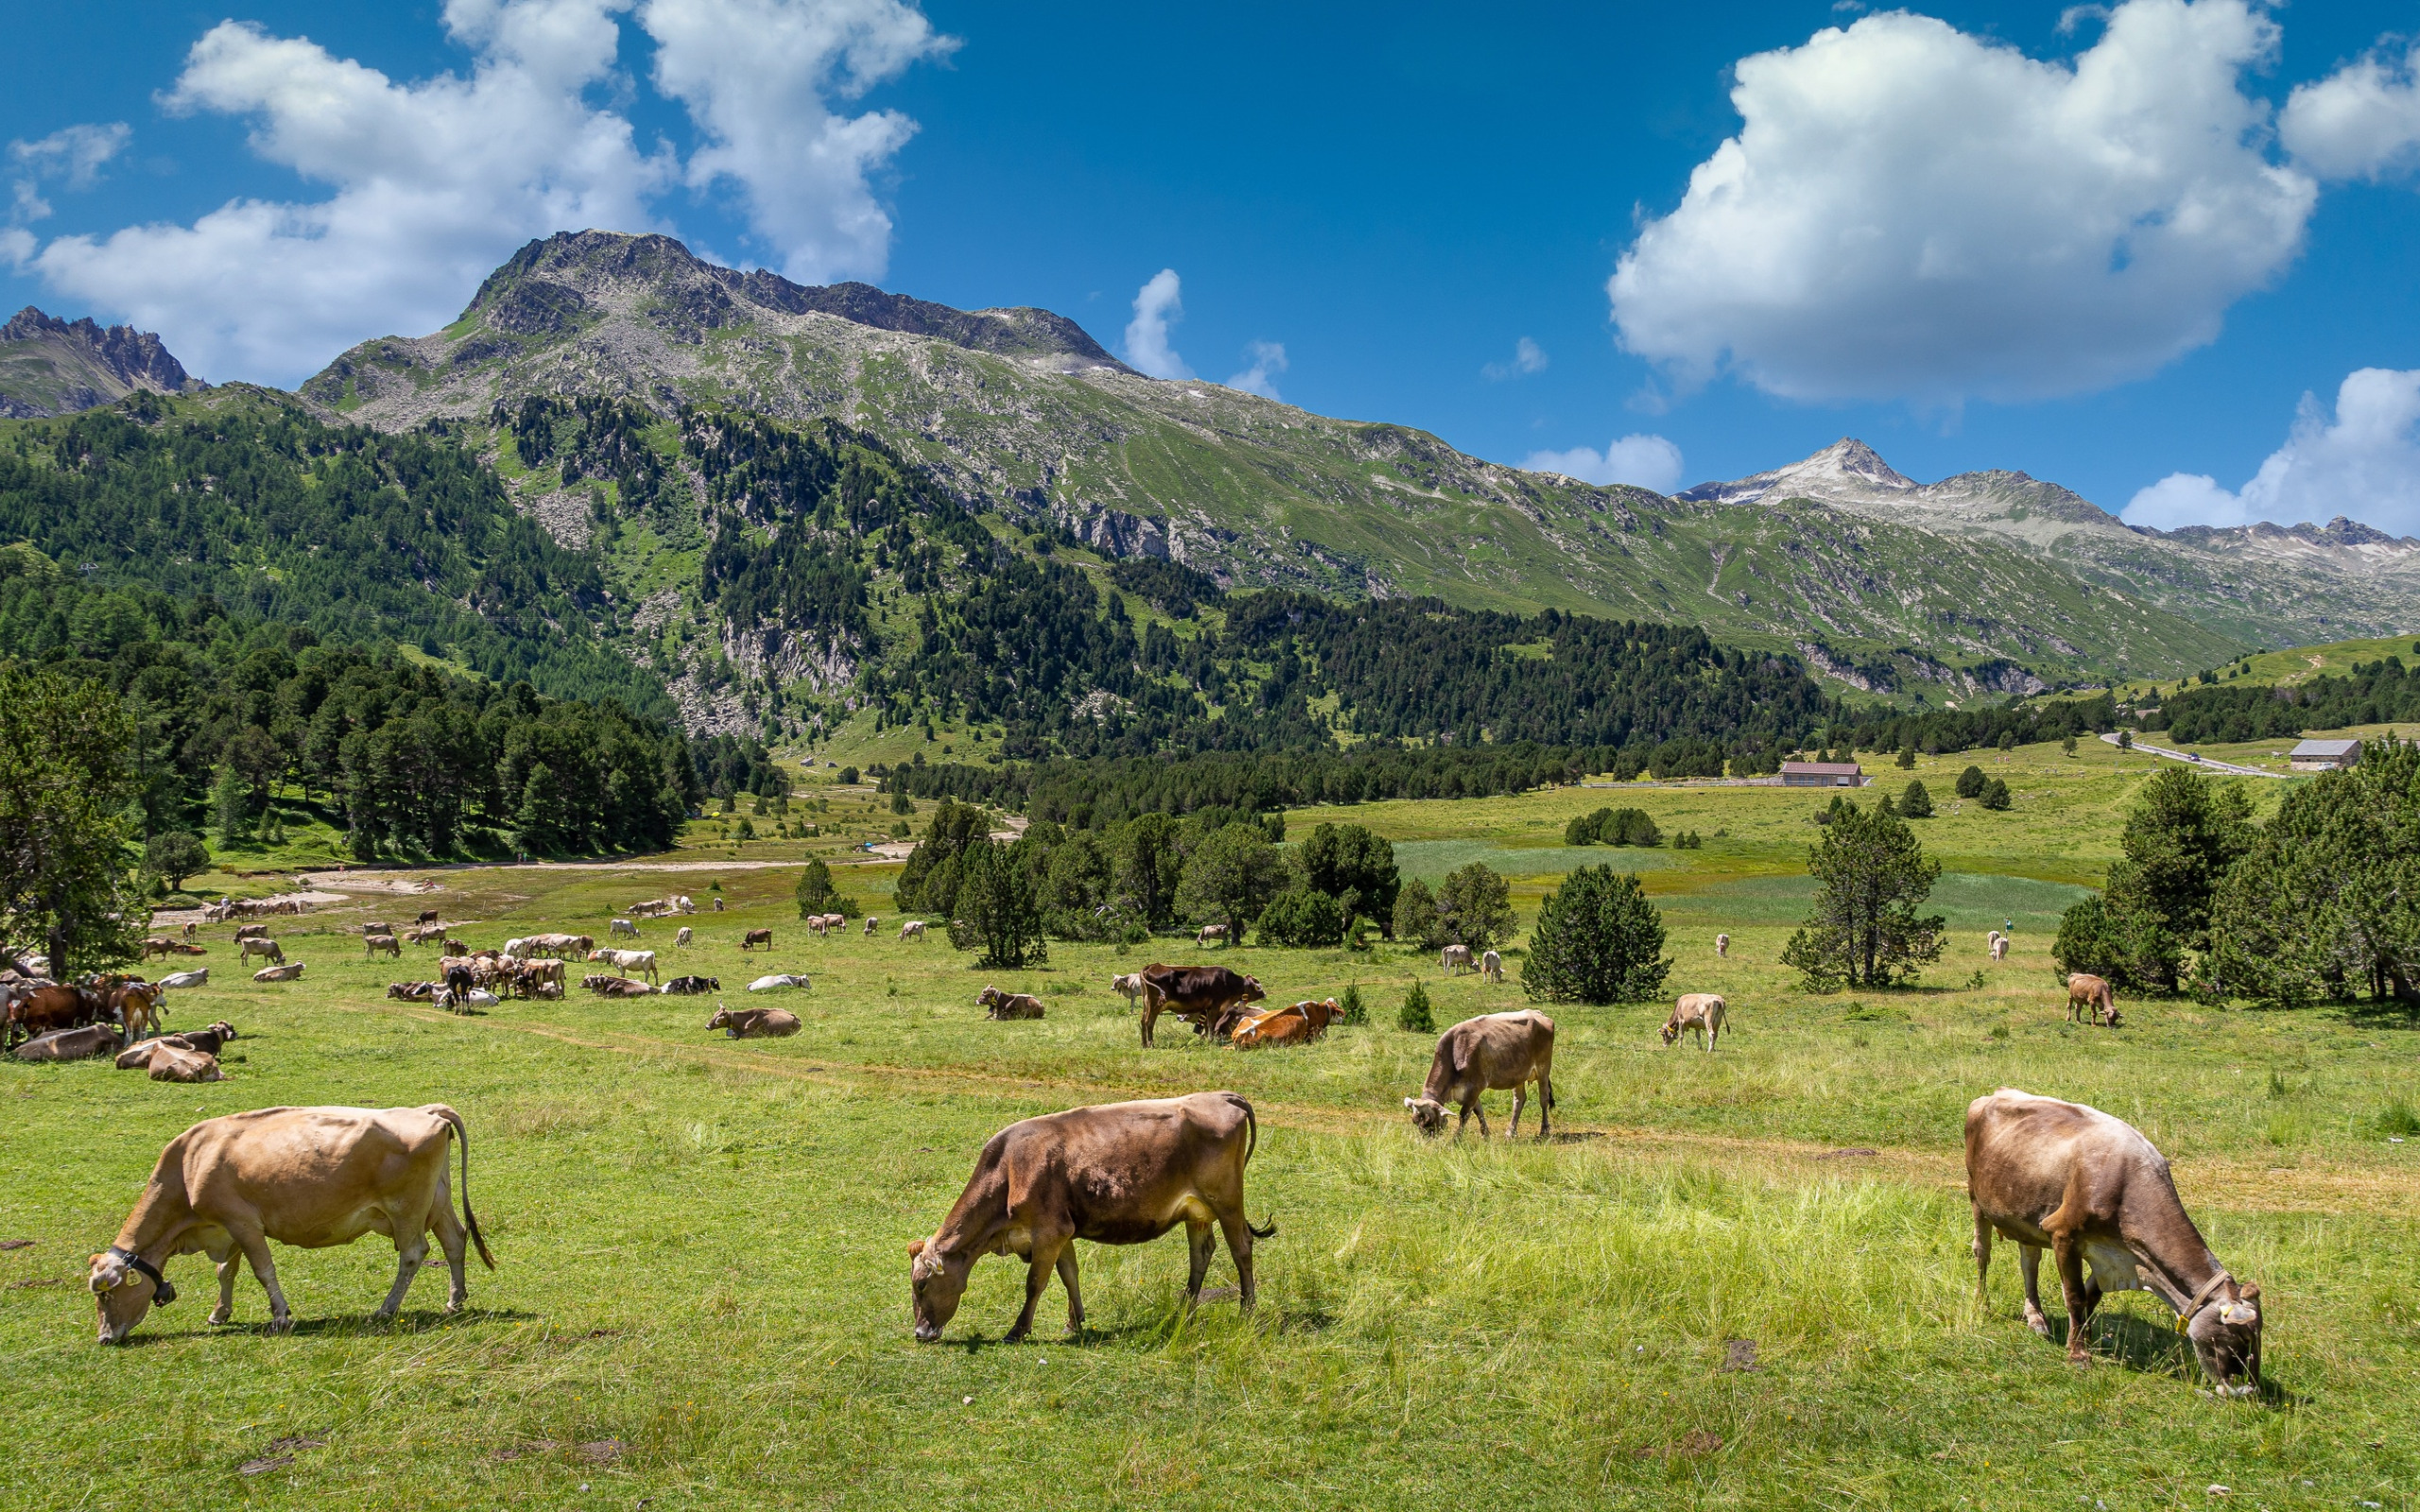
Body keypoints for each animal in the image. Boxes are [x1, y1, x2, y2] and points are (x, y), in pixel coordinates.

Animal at [87, 1098, 493, 1345]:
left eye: (106, 1293)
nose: (104, 1338)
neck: (190, 1165)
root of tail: (428, 1110)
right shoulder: (227, 1227)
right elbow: (226, 1271)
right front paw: (220, 1313)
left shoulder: (242, 1223)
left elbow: (262, 1271)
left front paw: (280, 1316)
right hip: (438, 1203)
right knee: (455, 1241)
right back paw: (454, 1300)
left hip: (405, 1208)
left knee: (413, 1253)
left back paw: (386, 1308)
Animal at [909, 1083, 1277, 1345]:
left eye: (922, 1284)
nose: (920, 1333)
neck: (1010, 1169)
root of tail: (1223, 1095)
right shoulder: (1061, 1232)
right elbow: (1069, 1275)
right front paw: (1074, 1322)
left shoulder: (1049, 1231)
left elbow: (1035, 1283)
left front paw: (1018, 1330)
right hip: (1196, 1211)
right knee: (1201, 1253)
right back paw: (1184, 1310)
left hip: (1227, 1200)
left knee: (1241, 1248)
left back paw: (1246, 1310)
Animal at [1413, 1005, 1558, 1137]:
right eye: (1415, 1121)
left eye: (1429, 1122)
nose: (1426, 1140)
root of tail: (1535, 1012)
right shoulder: (1471, 1090)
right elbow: (1479, 1111)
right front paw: (1486, 1134)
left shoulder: (1475, 1086)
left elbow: (1464, 1115)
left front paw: (1456, 1138)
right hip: (1518, 1075)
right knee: (1519, 1100)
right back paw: (1510, 1132)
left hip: (1543, 1068)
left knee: (1544, 1098)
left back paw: (1544, 1130)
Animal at [1964, 1083, 2265, 1393]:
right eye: (2241, 1338)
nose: (2248, 1390)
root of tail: (1996, 1093)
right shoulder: (2063, 1233)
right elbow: (2074, 1297)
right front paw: (2078, 1354)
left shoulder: (2113, 1254)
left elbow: (2090, 1297)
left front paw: (2085, 1337)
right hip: (1976, 1196)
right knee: (1982, 1253)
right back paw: (1982, 1304)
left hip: (2026, 1215)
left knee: (2029, 1262)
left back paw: (2035, 1317)